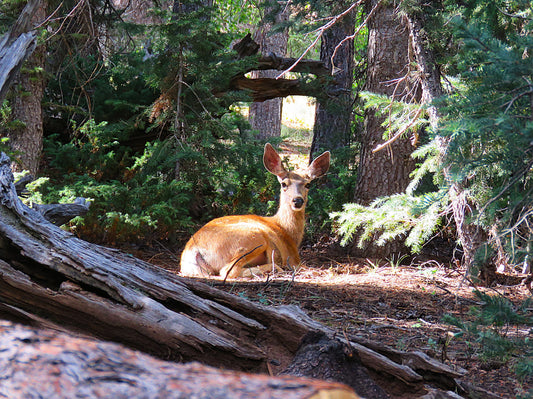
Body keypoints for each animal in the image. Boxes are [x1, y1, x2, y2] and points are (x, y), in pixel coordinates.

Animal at [179, 144, 328, 278]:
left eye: (308, 184)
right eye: (283, 184)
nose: (297, 200)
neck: (286, 230)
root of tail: (193, 250)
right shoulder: (293, 258)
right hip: (253, 238)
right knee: (228, 271)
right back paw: (275, 269)